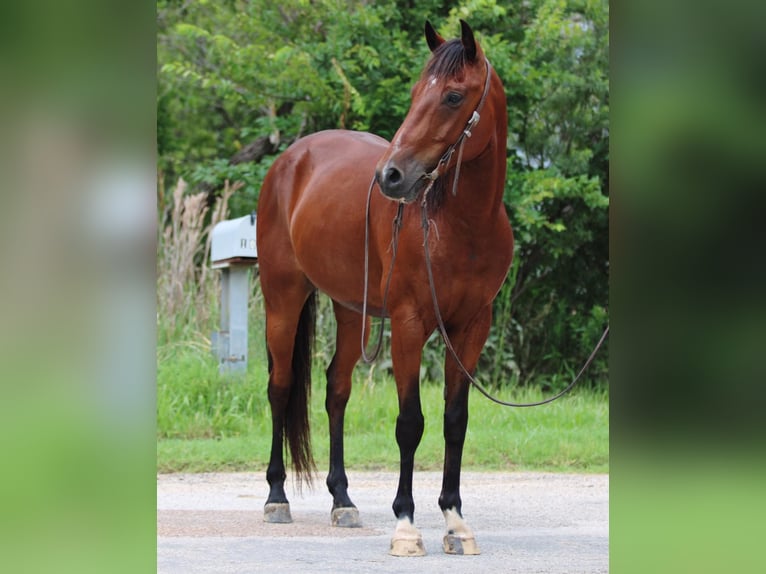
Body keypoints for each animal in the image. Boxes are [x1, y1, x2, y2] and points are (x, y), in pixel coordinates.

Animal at [255, 19, 512, 560]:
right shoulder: (410, 325)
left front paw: (455, 522)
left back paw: (342, 500)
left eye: (453, 96)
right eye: (416, 93)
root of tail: (290, 159)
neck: (459, 225)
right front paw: (406, 524)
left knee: (336, 389)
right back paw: (276, 496)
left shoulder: (472, 328)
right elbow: (410, 423)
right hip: (283, 299)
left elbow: (455, 420)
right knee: (280, 386)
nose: (391, 177)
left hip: (352, 310)